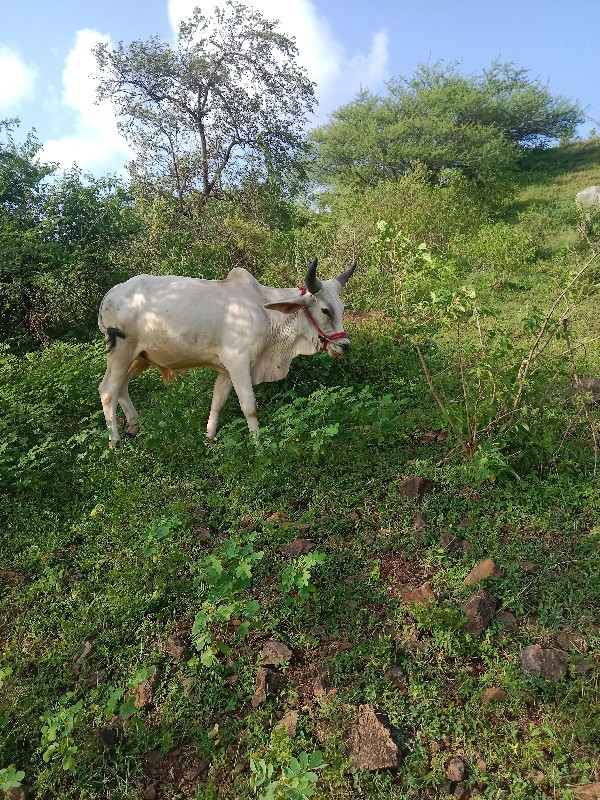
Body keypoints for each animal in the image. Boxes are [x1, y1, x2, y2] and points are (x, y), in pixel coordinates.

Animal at [96, 260, 354, 446]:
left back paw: (133, 426)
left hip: (140, 357)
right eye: (325, 310)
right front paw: (258, 445)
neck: (264, 312)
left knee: (120, 386)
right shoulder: (238, 362)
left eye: (341, 308)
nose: (345, 346)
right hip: (122, 351)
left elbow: (217, 404)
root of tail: (111, 294)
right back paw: (115, 442)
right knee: (108, 391)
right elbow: (249, 406)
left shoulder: (225, 370)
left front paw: (209, 440)